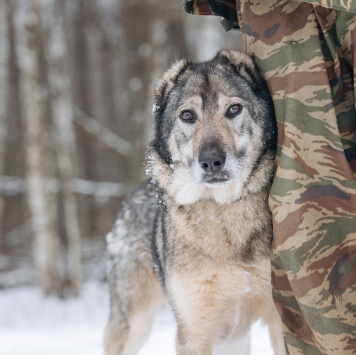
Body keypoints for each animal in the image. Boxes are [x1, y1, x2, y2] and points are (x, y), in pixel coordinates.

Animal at [104, 50, 286, 355]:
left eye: (234, 109)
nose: (211, 161)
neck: (221, 211)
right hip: (135, 325)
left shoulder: (283, 320)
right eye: (187, 115)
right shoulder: (193, 332)